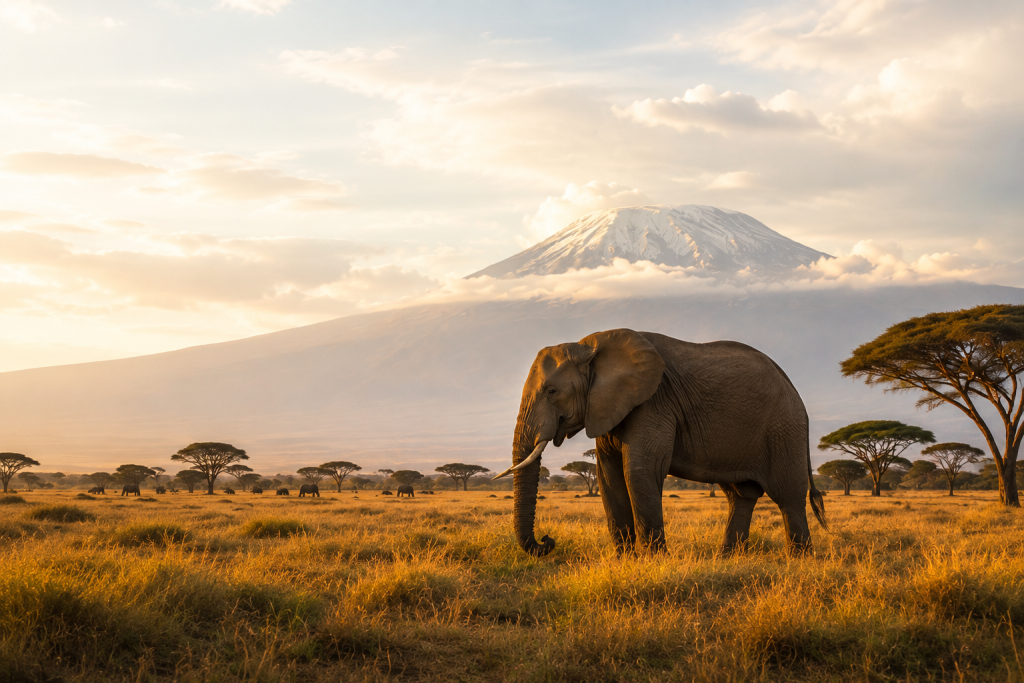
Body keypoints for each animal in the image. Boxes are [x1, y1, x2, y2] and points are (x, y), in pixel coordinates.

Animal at [494, 328, 827, 557]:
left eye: (551, 392)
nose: (547, 540)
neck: (590, 346)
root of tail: (794, 388)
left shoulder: (654, 402)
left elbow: (640, 471)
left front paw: (653, 561)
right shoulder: (607, 406)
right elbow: (609, 476)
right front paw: (624, 561)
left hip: (784, 428)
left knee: (788, 496)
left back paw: (799, 560)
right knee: (740, 496)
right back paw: (728, 559)